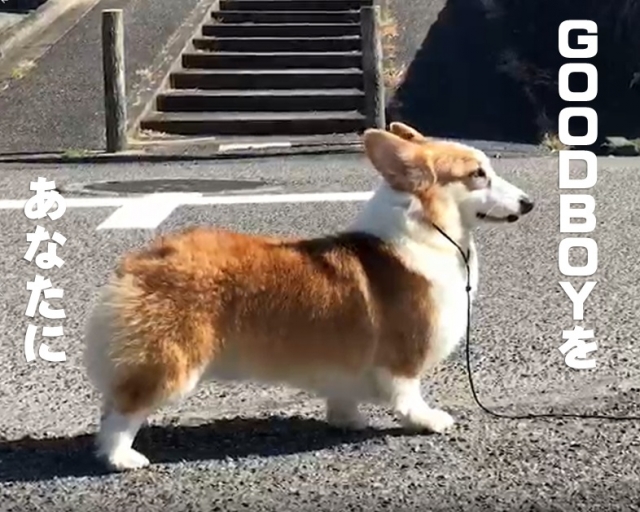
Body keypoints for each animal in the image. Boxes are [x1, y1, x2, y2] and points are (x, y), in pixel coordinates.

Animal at [82, 122, 534, 471]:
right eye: (478, 174)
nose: (529, 203)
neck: (427, 229)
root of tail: (140, 262)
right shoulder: (403, 356)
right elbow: (408, 394)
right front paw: (427, 420)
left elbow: (344, 394)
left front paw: (348, 420)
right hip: (173, 361)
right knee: (123, 410)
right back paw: (122, 459)